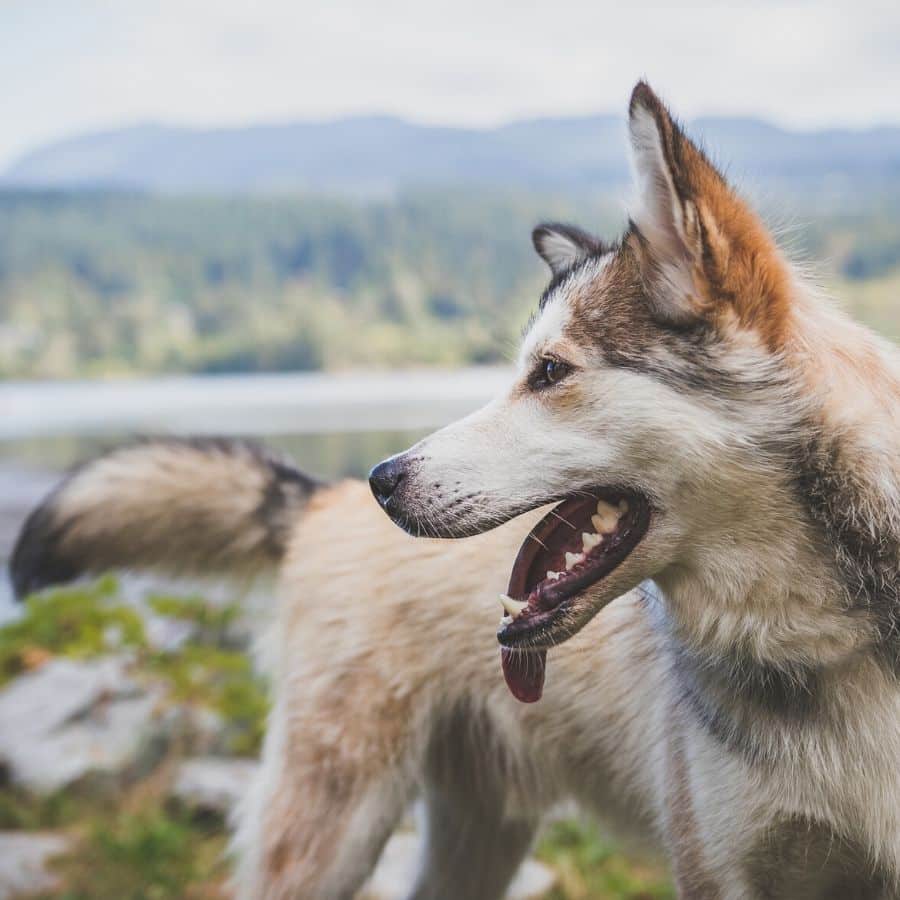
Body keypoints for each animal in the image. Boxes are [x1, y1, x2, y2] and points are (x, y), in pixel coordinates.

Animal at [14, 81, 900, 896]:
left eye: (549, 374)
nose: (385, 480)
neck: (832, 649)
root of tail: (320, 498)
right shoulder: (720, 870)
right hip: (333, 830)